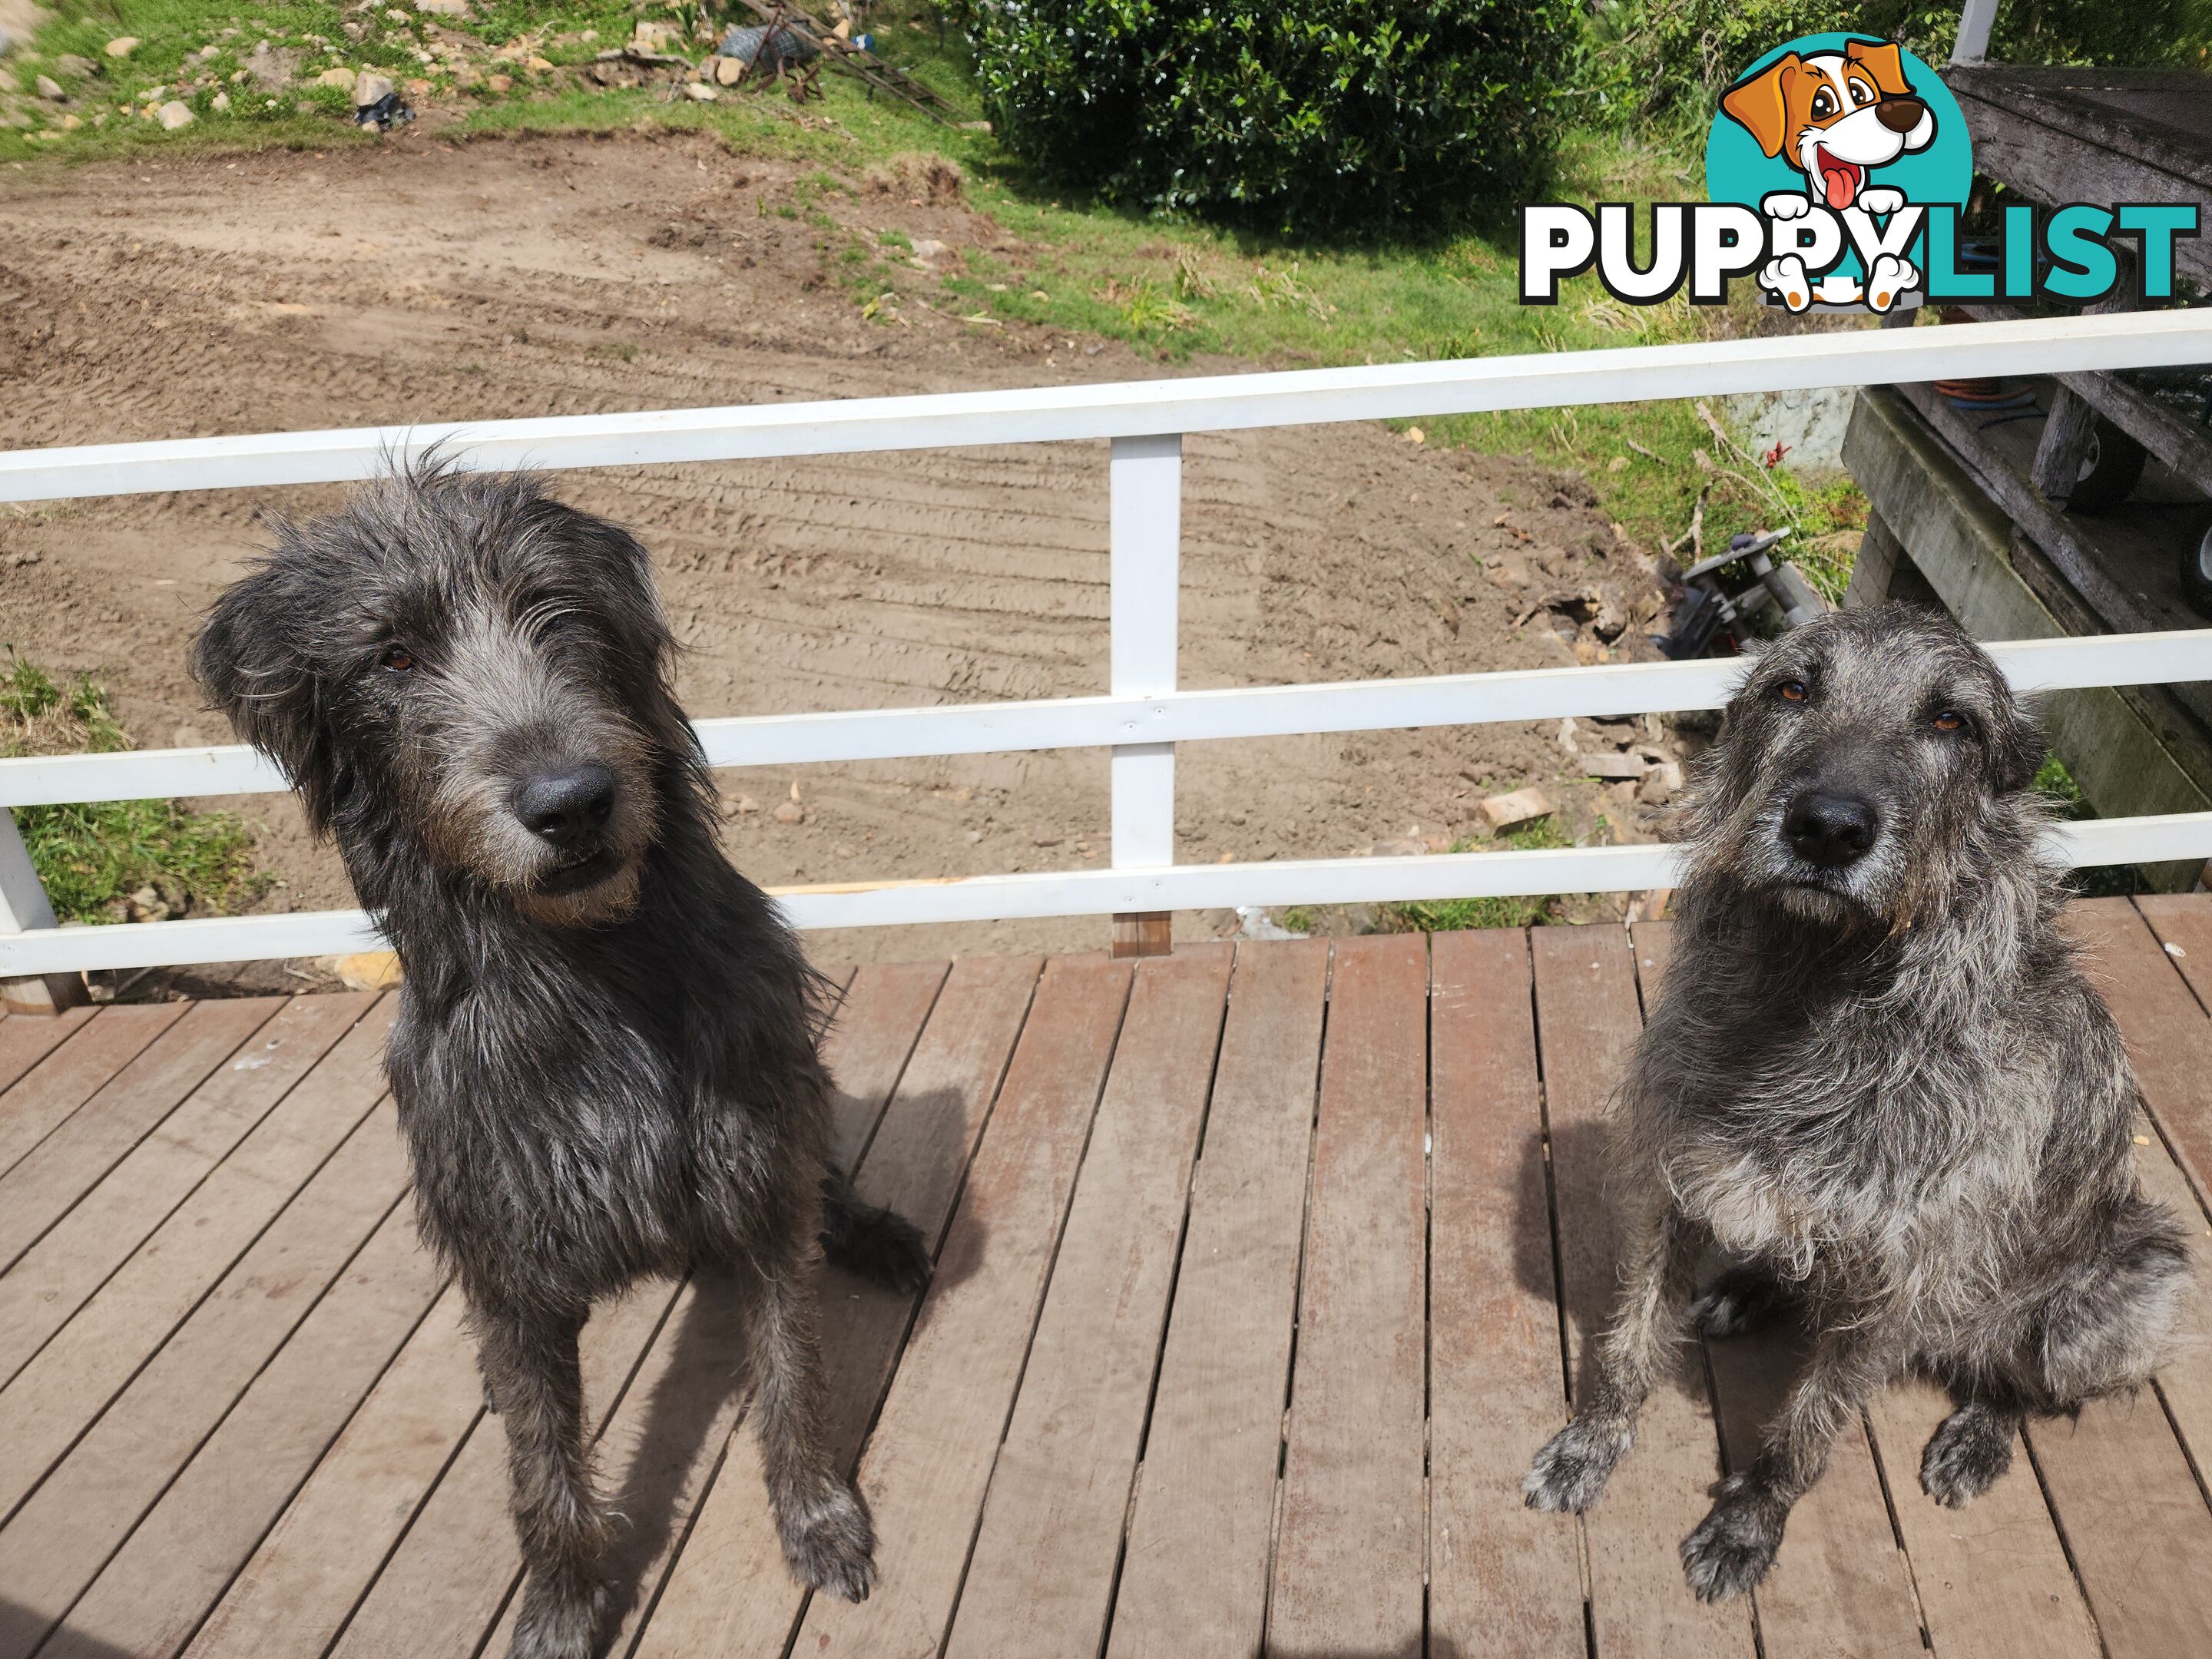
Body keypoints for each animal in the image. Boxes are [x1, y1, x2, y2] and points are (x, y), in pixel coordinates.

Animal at [185, 464, 920, 1659]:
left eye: (559, 611)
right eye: (393, 655)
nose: (570, 802)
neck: (591, 973)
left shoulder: (757, 1175)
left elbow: (792, 1371)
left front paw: (816, 1516)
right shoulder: (507, 1249)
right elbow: (541, 1463)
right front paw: (564, 1604)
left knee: (824, 1170)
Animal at [1530, 606, 2185, 1601]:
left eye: (1954, 721)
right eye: (1792, 689)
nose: (1828, 829)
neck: (1818, 987)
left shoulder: (1897, 1285)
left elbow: (1809, 1428)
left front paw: (1746, 1525)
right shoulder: (1673, 1180)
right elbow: (1625, 1342)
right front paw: (1589, 1447)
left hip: (2127, 1294)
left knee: (2033, 1380)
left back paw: (1979, 1434)